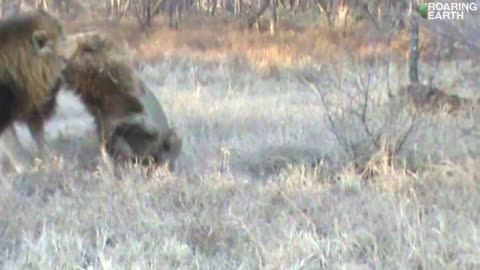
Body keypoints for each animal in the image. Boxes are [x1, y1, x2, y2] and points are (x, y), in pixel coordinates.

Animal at [0, 10, 66, 171]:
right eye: (61, 57)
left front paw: (49, 161)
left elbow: (39, 137)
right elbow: (13, 143)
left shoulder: (33, 108)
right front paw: (24, 167)